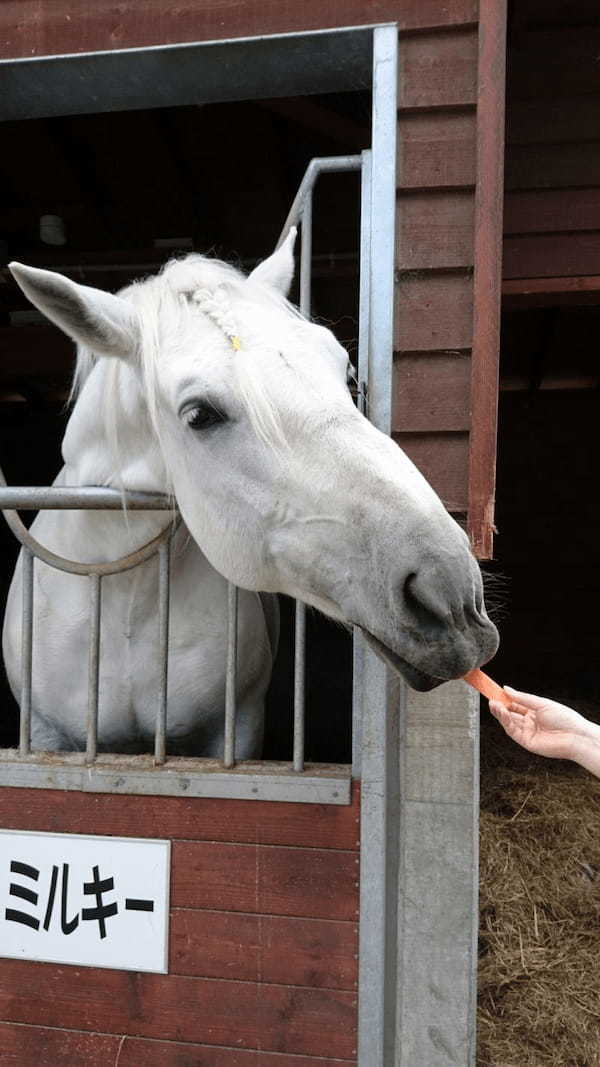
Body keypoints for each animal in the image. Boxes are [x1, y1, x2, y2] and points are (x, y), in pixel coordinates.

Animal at [3, 232, 495, 751]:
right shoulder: (44, 735)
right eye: (200, 415)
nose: (451, 596)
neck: (125, 602)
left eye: (347, 374)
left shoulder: (234, 728)